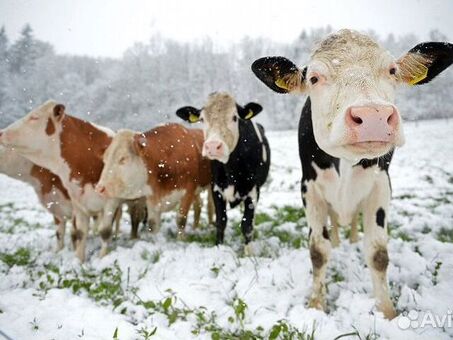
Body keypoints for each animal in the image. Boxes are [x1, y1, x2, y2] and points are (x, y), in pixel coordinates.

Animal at [176, 91, 268, 254]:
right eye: (202, 119)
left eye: (234, 117)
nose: (213, 146)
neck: (232, 170)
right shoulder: (216, 188)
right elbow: (221, 221)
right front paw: (219, 247)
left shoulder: (253, 191)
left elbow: (247, 224)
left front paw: (248, 252)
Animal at [251, 29, 452, 318]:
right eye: (314, 78)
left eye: (392, 70)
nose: (373, 117)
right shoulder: (309, 188)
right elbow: (318, 250)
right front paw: (316, 305)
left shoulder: (381, 186)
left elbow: (378, 254)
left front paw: (387, 312)